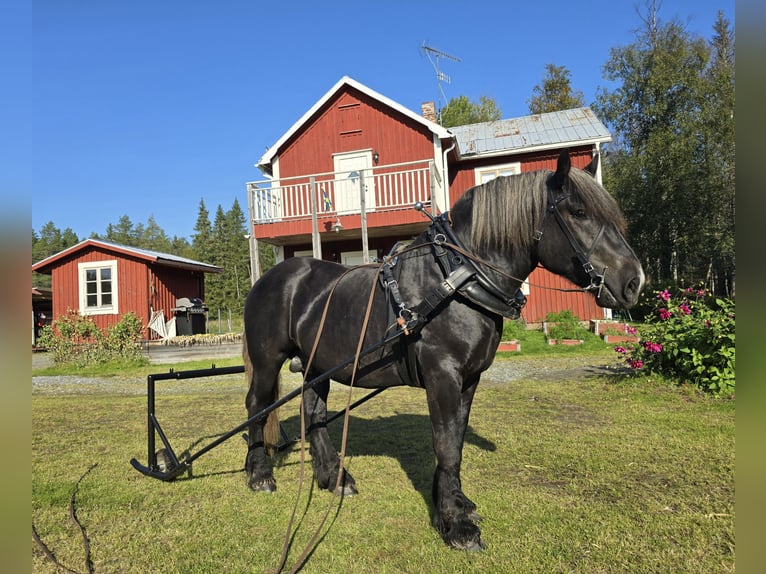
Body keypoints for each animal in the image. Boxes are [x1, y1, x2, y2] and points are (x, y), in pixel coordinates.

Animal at [243, 151, 644, 552]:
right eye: (578, 212)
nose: (634, 282)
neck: (458, 279)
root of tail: (270, 278)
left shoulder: (469, 378)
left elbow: (457, 440)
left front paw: (457, 502)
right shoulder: (443, 376)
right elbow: (446, 444)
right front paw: (456, 525)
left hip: (316, 364)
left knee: (314, 413)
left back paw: (334, 478)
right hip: (268, 362)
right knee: (257, 407)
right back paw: (260, 475)